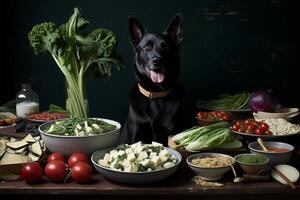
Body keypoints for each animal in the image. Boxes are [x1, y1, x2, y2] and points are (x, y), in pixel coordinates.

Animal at [120, 14, 184, 145]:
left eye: (166, 47)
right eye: (147, 47)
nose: (157, 60)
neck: (156, 93)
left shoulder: (171, 132)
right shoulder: (136, 133)